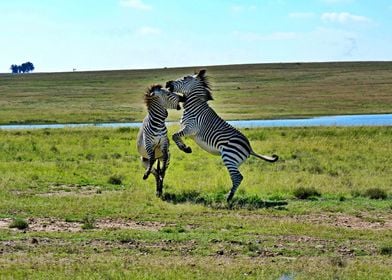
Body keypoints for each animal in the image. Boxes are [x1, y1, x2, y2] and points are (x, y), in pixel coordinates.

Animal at [165, 69, 278, 201]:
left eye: (185, 78)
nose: (167, 83)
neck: (194, 107)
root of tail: (249, 148)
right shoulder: (186, 128)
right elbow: (176, 135)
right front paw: (185, 147)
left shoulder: (192, 128)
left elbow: (175, 135)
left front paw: (185, 148)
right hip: (233, 161)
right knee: (237, 177)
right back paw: (229, 196)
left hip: (229, 157)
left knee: (238, 177)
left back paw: (229, 197)